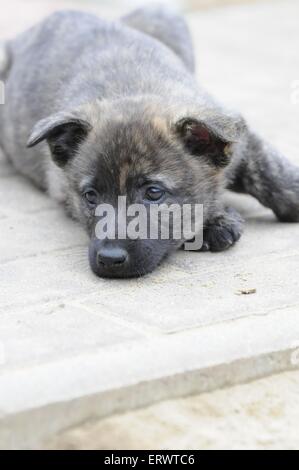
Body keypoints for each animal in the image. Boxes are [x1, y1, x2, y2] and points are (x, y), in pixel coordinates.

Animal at [0, 6, 299, 280]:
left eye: (154, 193)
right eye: (90, 196)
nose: (110, 259)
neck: (132, 88)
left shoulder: (233, 130)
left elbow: (269, 169)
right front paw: (213, 221)